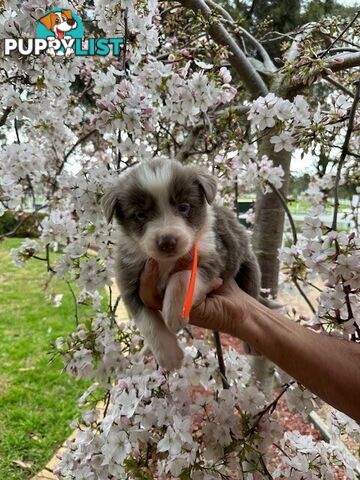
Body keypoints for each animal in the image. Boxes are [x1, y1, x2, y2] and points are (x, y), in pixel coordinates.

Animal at [102, 157, 260, 368]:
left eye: (184, 207)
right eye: (140, 215)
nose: (167, 242)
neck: (166, 262)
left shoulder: (215, 258)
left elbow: (182, 277)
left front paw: (175, 313)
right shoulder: (128, 279)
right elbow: (148, 322)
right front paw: (170, 357)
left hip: (249, 268)